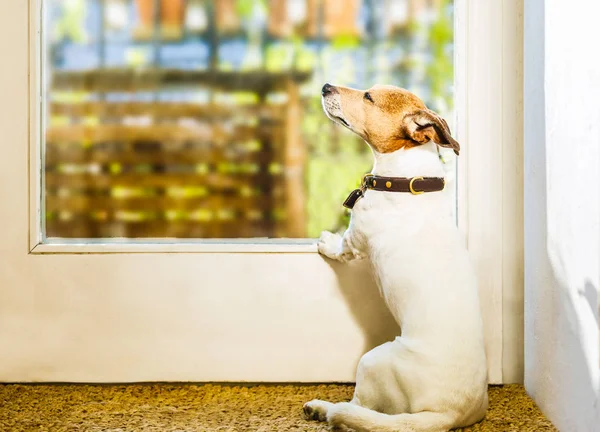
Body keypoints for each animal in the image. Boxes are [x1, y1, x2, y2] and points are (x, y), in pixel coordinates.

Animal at [302, 82, 490, 430]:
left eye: (368, 97)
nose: (325, 86)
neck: (406, 181)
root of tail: (447, 414)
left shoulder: (355, 240)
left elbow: (341, 247)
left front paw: (326, 241)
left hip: (371, 361)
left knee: (356, 409)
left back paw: (322, 408)